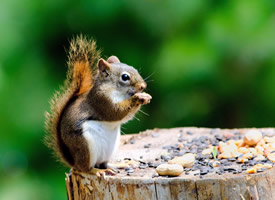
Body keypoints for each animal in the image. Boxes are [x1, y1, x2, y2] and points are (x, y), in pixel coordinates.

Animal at [45, 35, 153, 174]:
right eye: (125, 77)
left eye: (134, 69)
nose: (143, 86)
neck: (117, 91)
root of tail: (74, 161)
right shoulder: (101, 101)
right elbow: (115, 113)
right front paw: (138, 97)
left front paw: (145, 96)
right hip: (86, 146)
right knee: (86, 168)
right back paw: (96, 171)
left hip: (109, 149)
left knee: (104, 163)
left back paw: (120, 165)